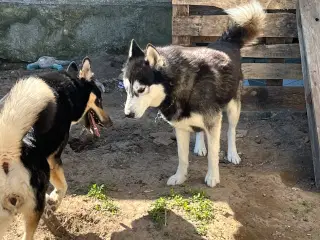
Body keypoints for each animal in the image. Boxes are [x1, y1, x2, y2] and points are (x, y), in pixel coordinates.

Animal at [0, 57, 112, 239]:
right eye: (99, 101)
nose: (110, 123)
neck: (69, 87)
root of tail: (7, 154)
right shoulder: (53, 160)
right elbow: (63, 186)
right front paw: (53, 200)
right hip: (34, 203)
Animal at [122, 0, 264, 187]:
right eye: (126, 89)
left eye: (141, 89)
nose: (127, 114)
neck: (178, 87)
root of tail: (226, 43)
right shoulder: (180, 127)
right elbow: (182, 157)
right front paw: (180, 177)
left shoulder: (213, 121)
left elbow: (213, 154)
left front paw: (212, 177)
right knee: (199, 130)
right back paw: (200, 146)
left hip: (233, 106)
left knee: (231, 130)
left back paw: (233, 154)